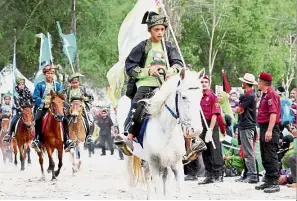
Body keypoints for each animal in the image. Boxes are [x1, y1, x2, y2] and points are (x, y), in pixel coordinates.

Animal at [117, 68, 204, 199]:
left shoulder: (175, 164)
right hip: (130, 156)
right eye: (183, 97)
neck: (165, 130)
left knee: (147, 175)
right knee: (131, 180)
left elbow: (173, 191)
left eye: (201, 96)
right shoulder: (155, 165)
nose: (196, 130)